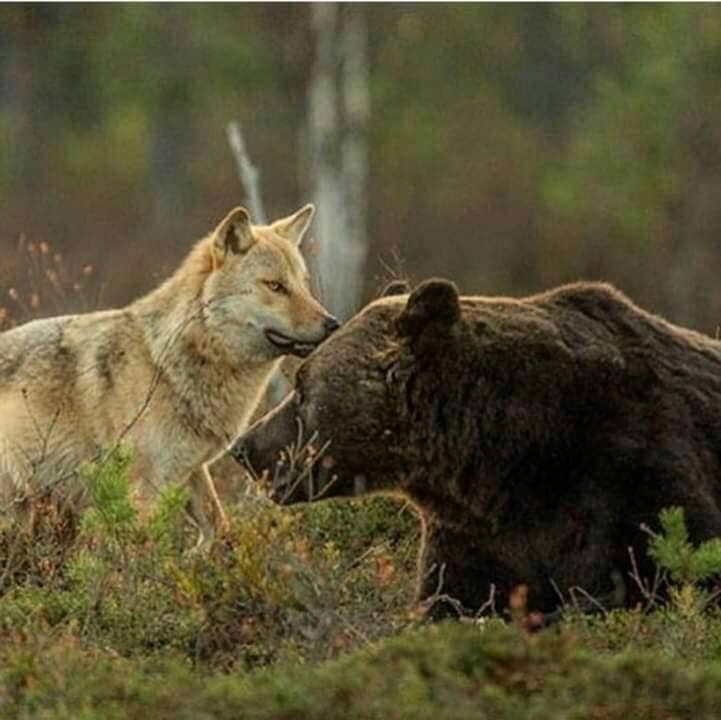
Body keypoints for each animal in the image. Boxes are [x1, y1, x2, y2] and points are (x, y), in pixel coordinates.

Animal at [229, 278, 720, 620]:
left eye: (301, 387)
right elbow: (454, 602)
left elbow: (669, 574)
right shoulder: (477, 536)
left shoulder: (630, 473)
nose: (244, 447)